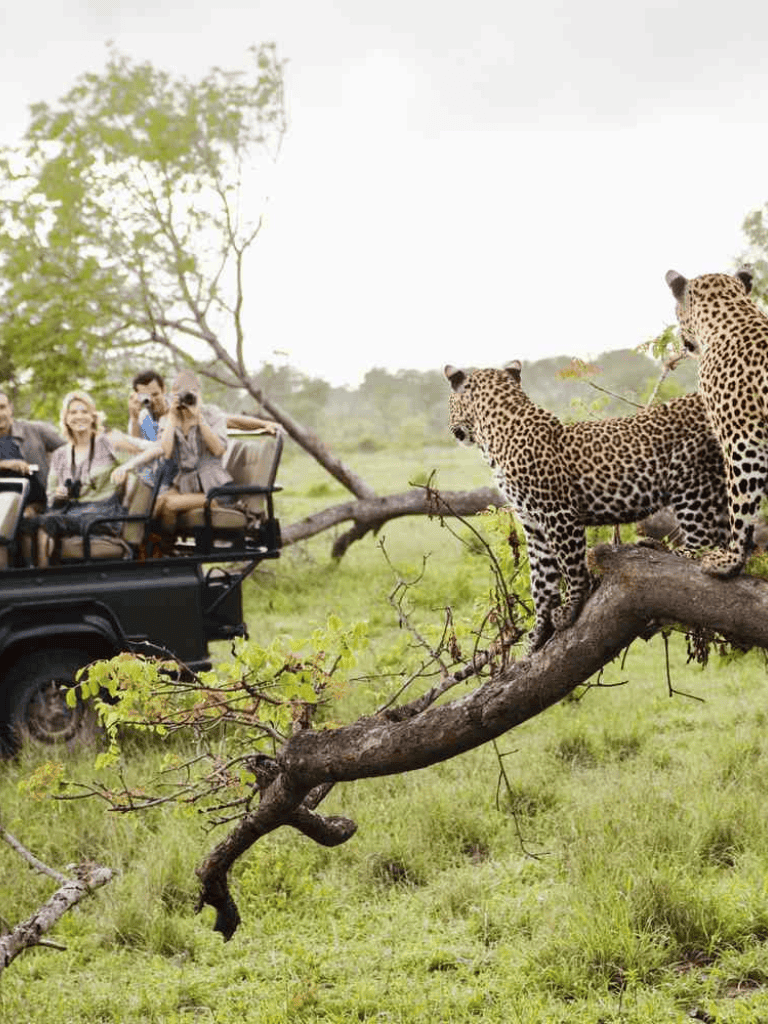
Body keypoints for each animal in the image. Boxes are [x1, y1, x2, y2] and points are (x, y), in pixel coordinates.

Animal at [445, 361, 729, 651]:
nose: (451, 427)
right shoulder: (533, 524)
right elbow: (541, 581)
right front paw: (538, 632)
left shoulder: (558, 513)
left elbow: (571, 566)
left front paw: (570, 607)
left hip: (690, 477)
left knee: (703, 540)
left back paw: (671, 551)